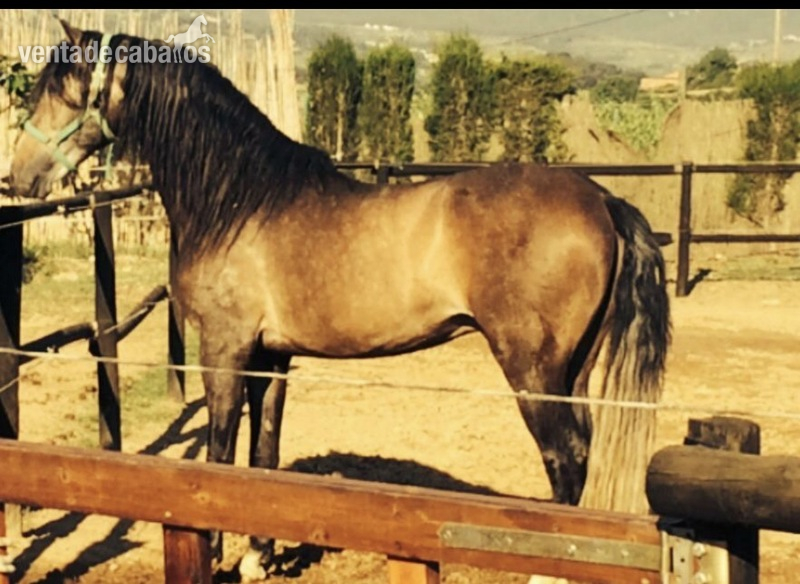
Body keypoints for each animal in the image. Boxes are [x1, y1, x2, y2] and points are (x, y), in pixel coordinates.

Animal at [9, 22, 670, 582]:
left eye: (64, 90)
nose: (19, 178)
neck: (240, 201)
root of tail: (603, 201)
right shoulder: (270, 357)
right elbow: (265, 451)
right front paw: (258, 557)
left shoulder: (224, 347)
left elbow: (221, 453)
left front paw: (219, 554)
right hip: (572, 370)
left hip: (532, 370)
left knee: (566, 458)